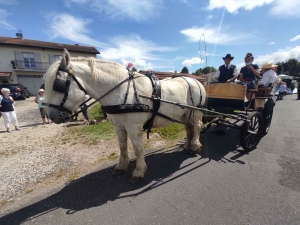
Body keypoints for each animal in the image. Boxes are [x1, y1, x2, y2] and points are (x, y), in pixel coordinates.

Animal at [45, 49, 206, 183]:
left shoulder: (134, 127)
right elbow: (122, 146)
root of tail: (196, 81)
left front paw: (139, 171)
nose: (51, 116)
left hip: (195, 112)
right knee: (188, 129)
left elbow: (137, 148)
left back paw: (195, 146)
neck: (121, 90)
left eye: (58, 85)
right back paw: (187, 146)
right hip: (184, 114)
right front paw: (121, 166)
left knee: (197, 127)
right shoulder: (119, 126)